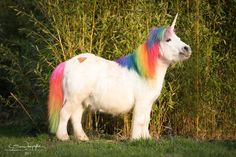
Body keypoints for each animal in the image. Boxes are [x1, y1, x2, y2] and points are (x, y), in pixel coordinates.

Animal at [48, 13, 192, 141]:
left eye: (178, 38)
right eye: (168, 40)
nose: (187, 48)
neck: (145, 72)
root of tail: (68, 63)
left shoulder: (148, 103)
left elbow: (146, 120)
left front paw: (146, 138)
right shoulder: (141, 102)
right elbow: (139, 120)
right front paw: (136, 139)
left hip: (80, 100)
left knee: (75, 117)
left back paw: (82, 138)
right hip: (74, 98)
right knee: (64, 113)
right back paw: (63, 137)